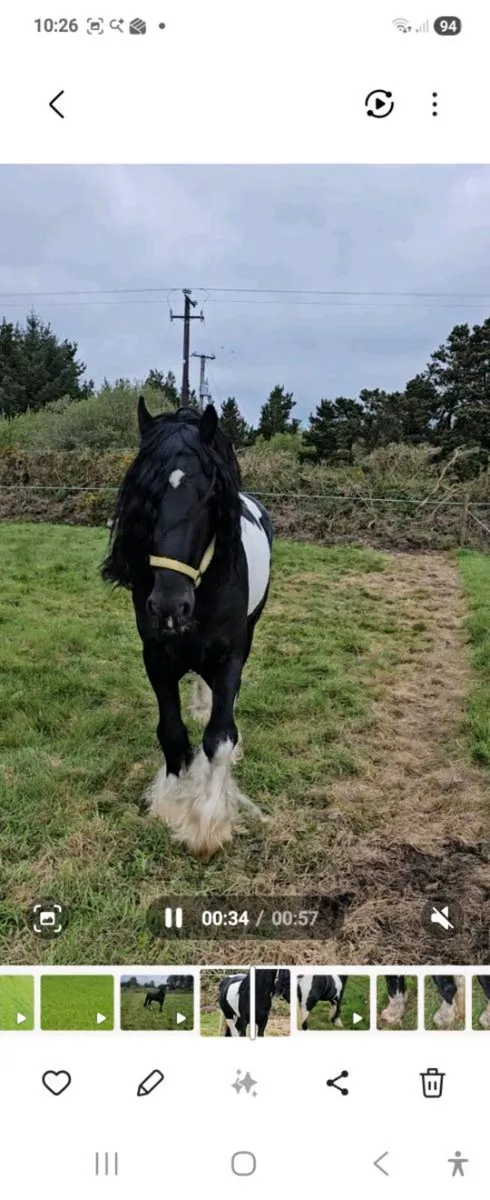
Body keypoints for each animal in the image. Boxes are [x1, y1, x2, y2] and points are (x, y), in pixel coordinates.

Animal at [102, 401, 273, 860]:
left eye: (208, 497)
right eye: (144, 496)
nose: (168, 606)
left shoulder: (230, 656)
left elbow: (219, 737)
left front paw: (206, 823)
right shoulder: (157, 657)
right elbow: (173, 733)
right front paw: (172, 802)